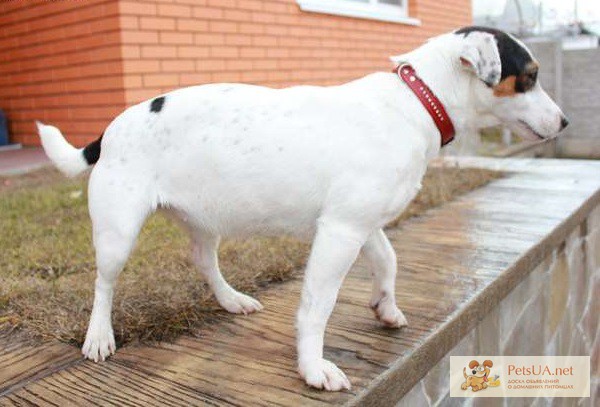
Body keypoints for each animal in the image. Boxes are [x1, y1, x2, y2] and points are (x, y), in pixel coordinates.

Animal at [36, 26, 568, 392]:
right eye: (531, 77)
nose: (565, 121)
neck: (418, 101)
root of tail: (109, 129)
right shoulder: (340, 232)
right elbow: (317, 307)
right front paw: (313, 367)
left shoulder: (361, 224)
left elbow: (389, 260)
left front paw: (385, 306)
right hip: (118, 230)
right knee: (104, 284)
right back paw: (98, 336)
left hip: (204, 217)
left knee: (204, 261)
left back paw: (232, 300)